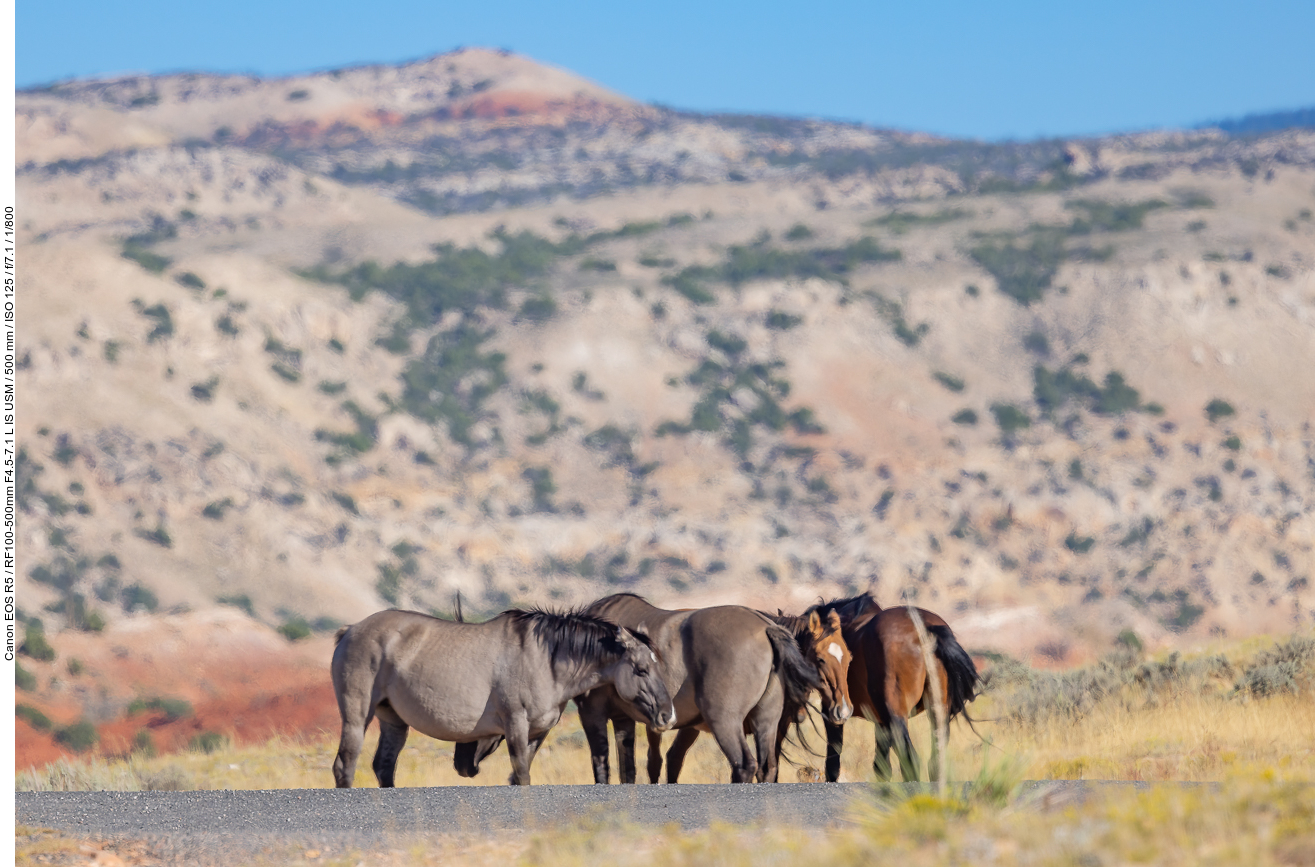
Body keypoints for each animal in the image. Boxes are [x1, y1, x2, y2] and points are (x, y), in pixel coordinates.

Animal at [328, 607, 678, 789]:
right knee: (345, 764)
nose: (667, 715)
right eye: (641, 669)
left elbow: (518, 775)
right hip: (357, 717)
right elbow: (521, 772)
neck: (544, 659)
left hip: (394, 720)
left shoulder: (537, 732)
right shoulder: (515, 724)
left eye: (657, 665)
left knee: (384, 766)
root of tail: (350, 629)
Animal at [578, 597, 820, 789]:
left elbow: (601, 762)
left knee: (743, 764)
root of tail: (765, 628)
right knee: (766, 767)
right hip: (766, 721)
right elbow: (628, 768)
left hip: (724, 721)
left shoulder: (593, 713)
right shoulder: (624, 718)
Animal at [804, 594, 983, 784]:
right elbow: (881, 767)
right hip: (937, 711)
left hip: (896, 715)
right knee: (935, 760)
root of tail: (925, 629)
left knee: (910, 759)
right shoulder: (881, 722)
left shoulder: (833, 712)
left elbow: (833, 762)